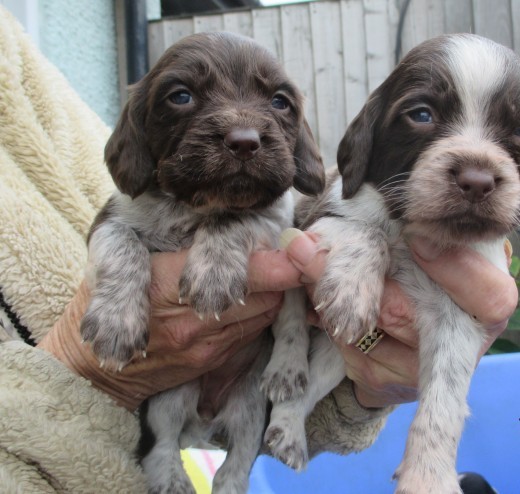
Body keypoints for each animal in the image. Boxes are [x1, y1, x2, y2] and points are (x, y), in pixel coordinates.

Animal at [80, 31, 324, 494]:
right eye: (181, 96)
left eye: (280, 101)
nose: (245, 141)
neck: (193, 209)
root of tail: (206, 419)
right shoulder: (110, 220)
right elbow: (123, 244)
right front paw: (117, 320)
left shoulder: (275, 225)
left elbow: (235, 219)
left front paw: (213, 271)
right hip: (167, 397)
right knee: (160, 444)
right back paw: (171, 479)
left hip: (250, 407)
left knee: (238, 462)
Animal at [266, 34, 520, 494]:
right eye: (421, 115)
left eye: (519, 129)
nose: (477, 181)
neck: (415, 229)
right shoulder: (317, 224)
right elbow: (366, 231)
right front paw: (351, 291)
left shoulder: (459, 321)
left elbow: (444, 403)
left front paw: (428, 476)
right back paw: (287, 409)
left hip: (335, 358)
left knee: (310, 385)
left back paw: (288, 434)